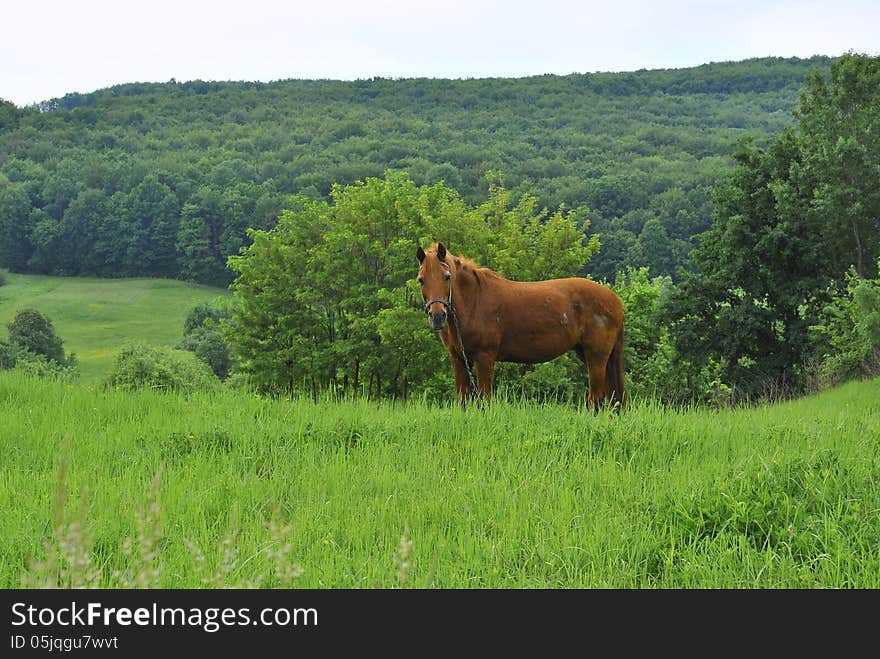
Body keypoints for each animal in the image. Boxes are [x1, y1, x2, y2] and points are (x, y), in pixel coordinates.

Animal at [414, 242, 624, 412]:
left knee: (596, 399)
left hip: (596, 357)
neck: (474, 301)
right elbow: (463, 401)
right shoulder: (458, 359)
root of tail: (615, 300)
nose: (438, 316)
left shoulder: (484, 358)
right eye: (421, 279)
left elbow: (485, 400)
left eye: (447, 277)